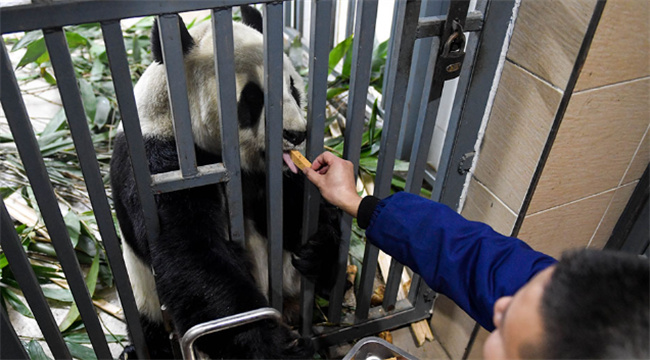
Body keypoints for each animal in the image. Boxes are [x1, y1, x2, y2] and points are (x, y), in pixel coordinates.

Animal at [112, 4, 342, 358]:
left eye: (292, 88)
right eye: (252, 99)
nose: (296, 134)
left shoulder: (268, 174)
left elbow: (287, 207)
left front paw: (318, 247)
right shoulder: (159, 166)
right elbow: (192, 253)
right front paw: (276, 347)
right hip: (144, 295)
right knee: (148, 325)